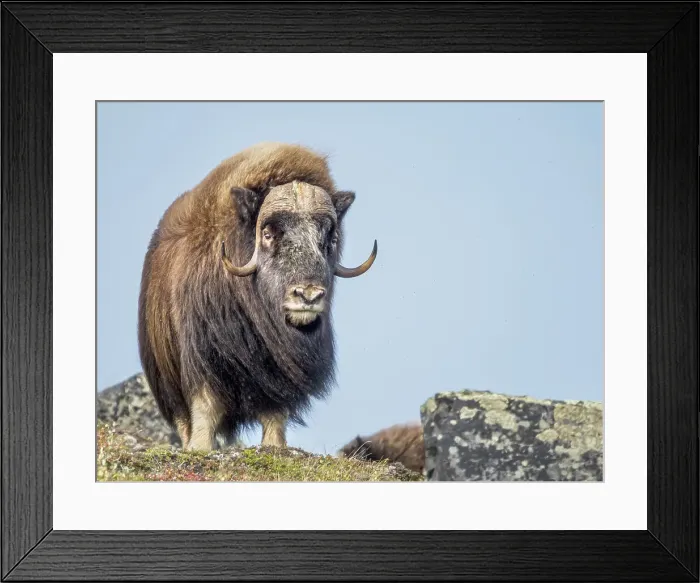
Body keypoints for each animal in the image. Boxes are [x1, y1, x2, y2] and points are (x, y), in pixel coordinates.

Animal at [137, 142, 377, 451]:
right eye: (268, 233)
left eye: (329, 238)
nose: (308, 295)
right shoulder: (203, 354)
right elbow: (205, 403)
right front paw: (200, 448)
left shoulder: (278, 371)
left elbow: (275, 412)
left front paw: (275, 446)